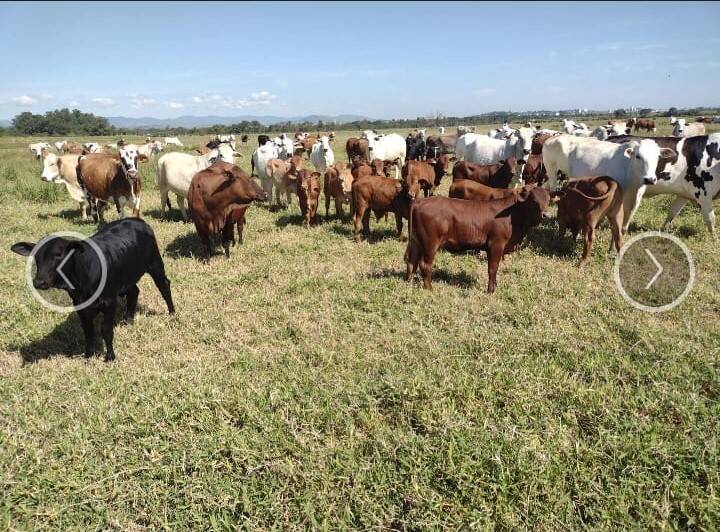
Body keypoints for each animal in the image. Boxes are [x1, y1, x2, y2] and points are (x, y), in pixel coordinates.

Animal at [11, 217, 175, 362]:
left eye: (59, 255)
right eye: (36, 257)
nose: (39, 282)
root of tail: (137, 220)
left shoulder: (109, 302)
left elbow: (106, 330)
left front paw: (110, 357)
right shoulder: (80, 306)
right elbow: (88, 331)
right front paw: (89, 355)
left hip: (155, 264)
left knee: (164, 286)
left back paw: (172, 313)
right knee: (134, 292)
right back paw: (128, 319)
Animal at [404, 187, 552, 294]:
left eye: (548, 200)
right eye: (533, 200)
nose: (545, 214)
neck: (513, 214)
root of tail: (420, 201)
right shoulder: (496, 245)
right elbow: (492, 269)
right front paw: (491, 290)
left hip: (417, 241)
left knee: (412, 261)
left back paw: (409, 282)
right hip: (430, 244)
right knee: (424, 264)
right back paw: (429, 288)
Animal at [544, 135, 676, 231]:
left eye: (658, 156)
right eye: (638, 156)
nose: (650, 179)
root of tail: (553, 137)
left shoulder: (635, 200)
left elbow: (625, 224)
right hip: (551, 171)